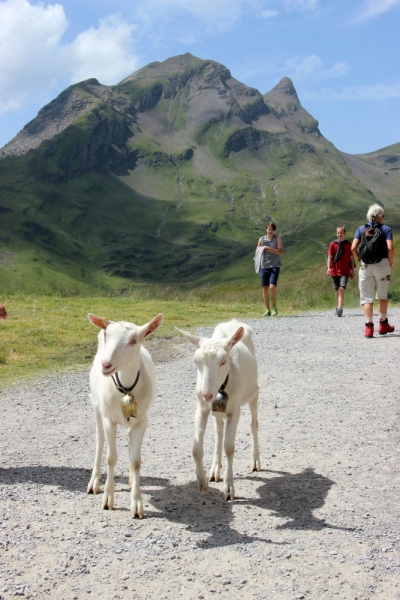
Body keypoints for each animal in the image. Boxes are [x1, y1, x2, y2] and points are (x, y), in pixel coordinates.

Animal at [87, 312, 162, 516]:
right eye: (107, 335)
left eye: (134, 340)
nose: (106, 364)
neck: (126, 388)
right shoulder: (109, 420)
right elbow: (110, 457)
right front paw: (107, 500)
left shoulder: (142, 420)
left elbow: (136, 460)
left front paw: (136, 504)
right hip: (96, 405)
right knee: (99, 441)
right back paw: (94, 481)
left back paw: (130, 477)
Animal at [177, 318, 260, 502]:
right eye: (196, 361)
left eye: (223, 361)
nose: (207, 394)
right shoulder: (201, 408)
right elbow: (196, 449)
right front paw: (202, 481)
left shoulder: (234, 409)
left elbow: (229, 447)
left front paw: (228, 489)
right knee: (219, 430)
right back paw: (215, 469)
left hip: (254, 392)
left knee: (253, 423)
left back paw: (256, 461)